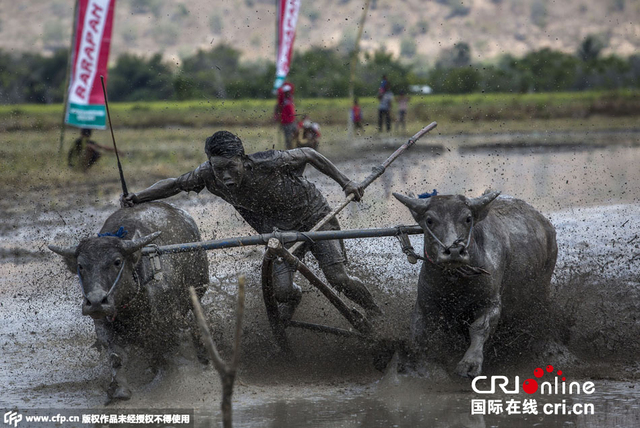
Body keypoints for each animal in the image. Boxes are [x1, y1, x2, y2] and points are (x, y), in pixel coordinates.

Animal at [50, 202, 210, 400]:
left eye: (117, 261)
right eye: (81, 265)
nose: (96, 302)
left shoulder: (170, 322)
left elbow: (168, 352)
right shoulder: (104, 325)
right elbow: (116, 356)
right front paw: (120, 389)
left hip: (198, 290)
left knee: (197, 321)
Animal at [392, 191, 556, 378]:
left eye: (468, 218)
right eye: (429, 220)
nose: (454, 251)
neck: (456, 282)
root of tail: (546, 225)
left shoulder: (490, 303)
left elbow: (479, 328)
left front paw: (470, 363)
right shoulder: (425, 304)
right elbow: (419, 333)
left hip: (542, 288)